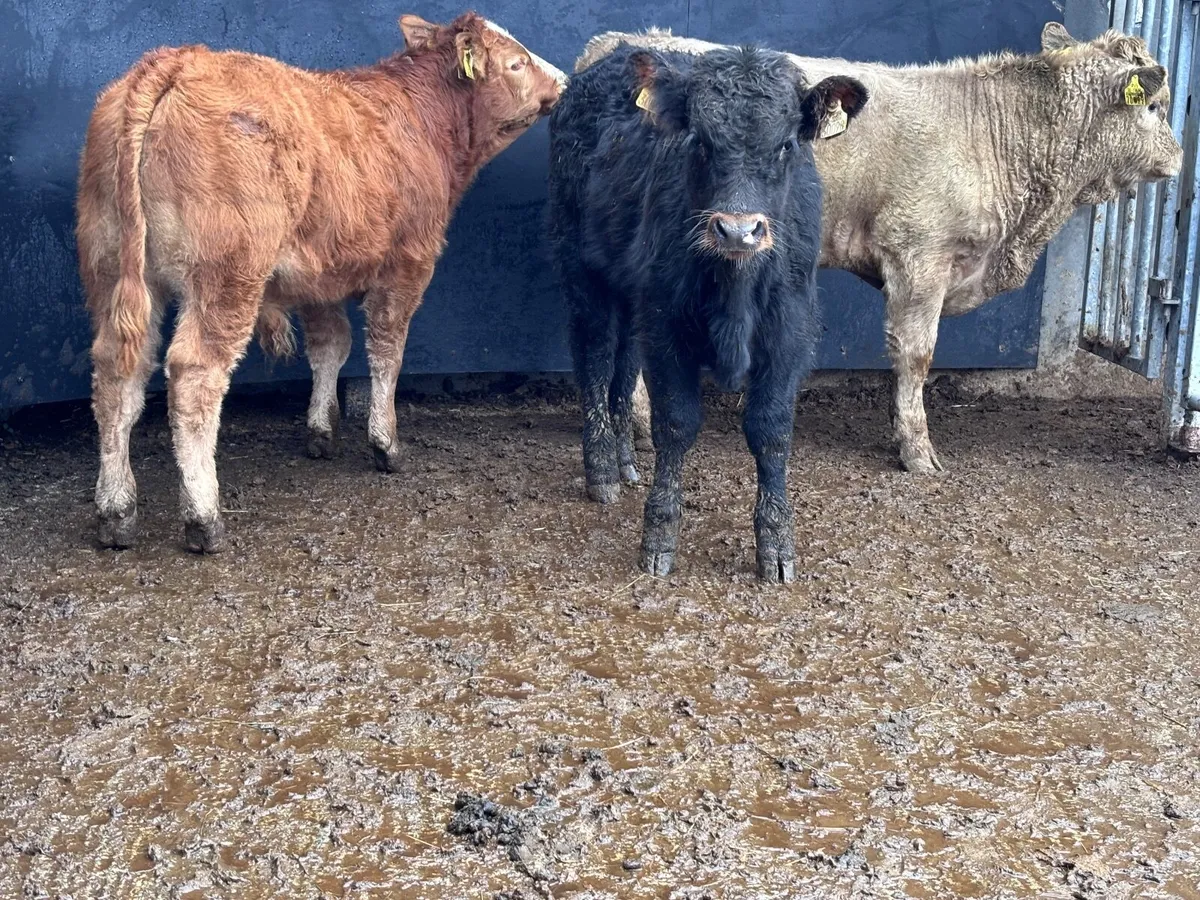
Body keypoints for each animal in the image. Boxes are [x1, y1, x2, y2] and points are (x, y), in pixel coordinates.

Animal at [77, 12, 566, 553]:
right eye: (517, 62)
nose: (563, 80)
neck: (424, 122)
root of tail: (177, 59)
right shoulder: (409, 262)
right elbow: (387, 349)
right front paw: (385, 441)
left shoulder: (318, 277)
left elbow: (331, 345)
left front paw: (321, 427)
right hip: (227, 275)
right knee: (194, 375)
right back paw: (203, 517)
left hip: (111, 268)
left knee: (116, 374)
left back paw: (116, 510)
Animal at [548, 44, 867, 582]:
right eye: (699, 141)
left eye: (786, 145)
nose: (738, 231)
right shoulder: (666, 324)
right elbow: (676, 424)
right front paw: (659, 535)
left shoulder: (790, 326)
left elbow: (771, 430)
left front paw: (776, 543)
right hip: (581, 269)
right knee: (594, 357)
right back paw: (603, 469)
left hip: (631, 290)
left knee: (623, 363)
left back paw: (626, 461)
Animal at [578, 23, 1184, 474]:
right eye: (1156, 106)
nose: (1179, 159)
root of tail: (615, 42)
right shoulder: (920, 255)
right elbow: (916, 355)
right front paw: (917, 451)